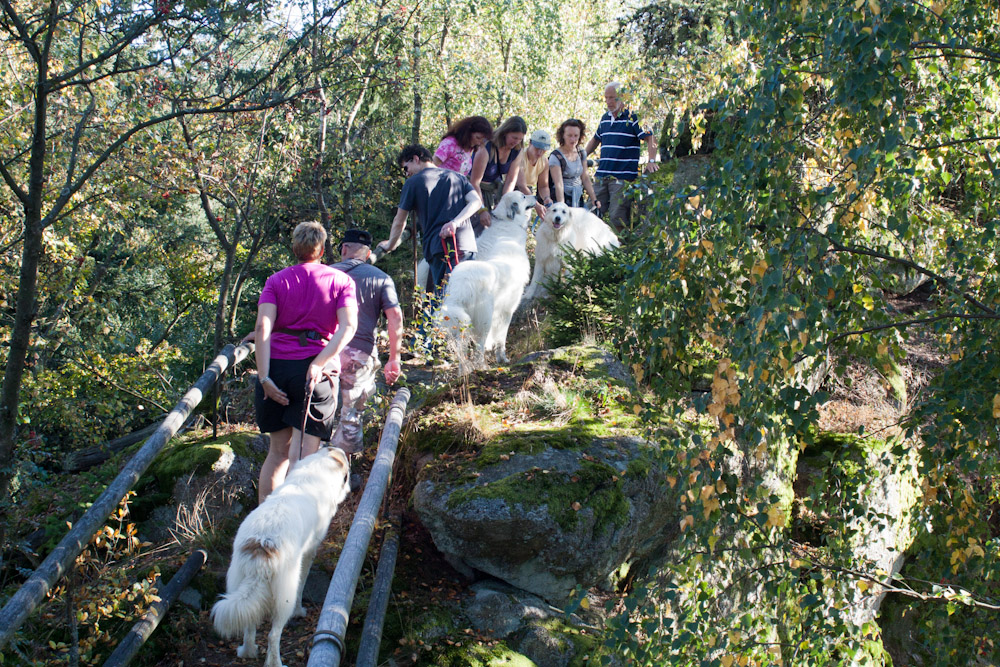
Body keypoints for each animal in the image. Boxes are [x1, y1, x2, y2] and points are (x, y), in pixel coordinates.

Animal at [211, 446, 352, 667]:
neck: (317, 468)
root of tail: (262, 544)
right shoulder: (309, 552)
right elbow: (302, 585)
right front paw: (300, 611)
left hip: (236, 580)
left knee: (249, 624)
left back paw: (247, 652)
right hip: (284, 593)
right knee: (273, 634)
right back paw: (275, 663)